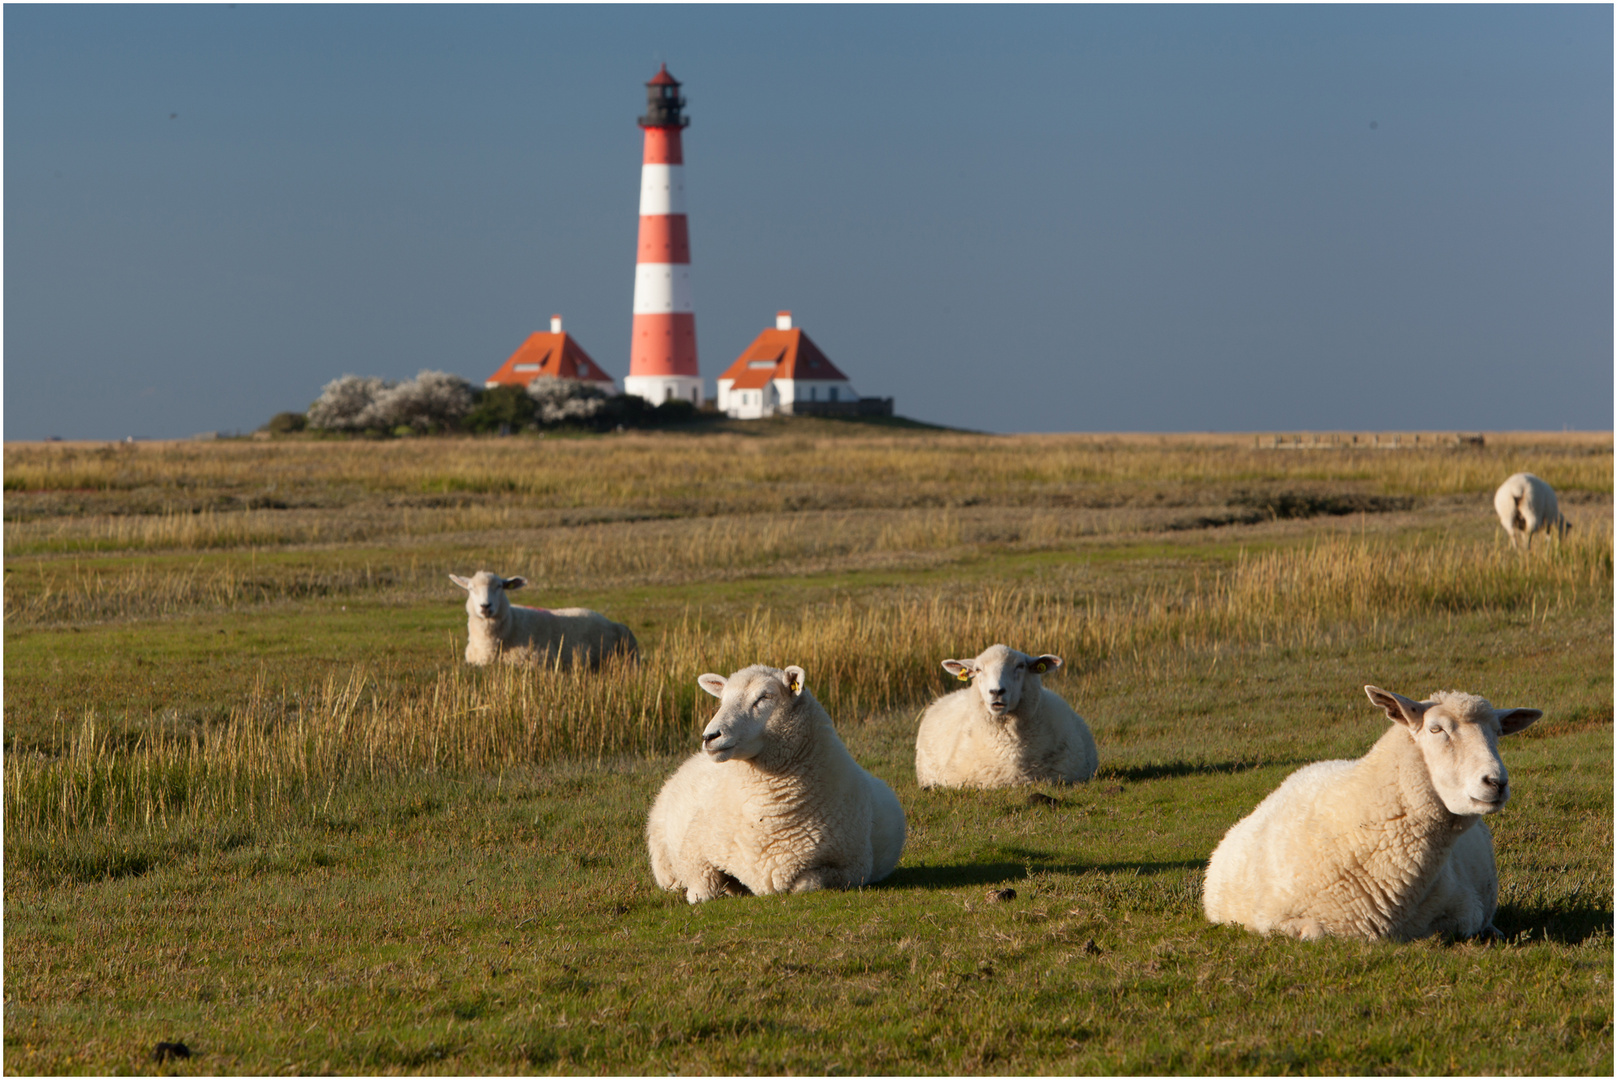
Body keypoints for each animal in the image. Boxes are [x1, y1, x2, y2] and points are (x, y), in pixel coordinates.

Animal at [646, 666, 911, 905]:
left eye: (764, 697)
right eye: (722, 699)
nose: (710, 737)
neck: (767, 812)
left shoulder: (853, 867)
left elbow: (806, 884)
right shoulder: (695, 851)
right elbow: (700, 892)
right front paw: (719, 888)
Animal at [1203, 688, 1539, 937]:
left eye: (1497, 732)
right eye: (1436, 729)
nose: (1496, 782)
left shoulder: (1467, 907)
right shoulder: (1273, 919)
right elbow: (1315, 932)